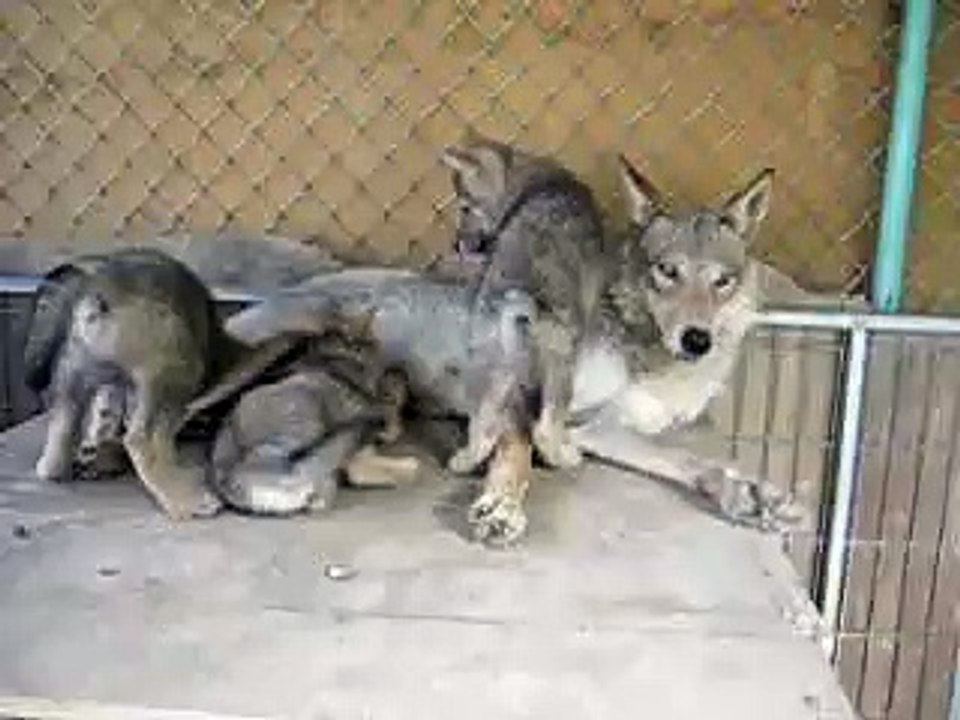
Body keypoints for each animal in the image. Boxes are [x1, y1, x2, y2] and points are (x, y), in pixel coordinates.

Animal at [440, 135, 605, 472]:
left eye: (465, 208)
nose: (455, 244)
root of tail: (519, 294)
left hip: (488, 358)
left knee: (483, 422)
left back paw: (466, 459)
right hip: (562, 354)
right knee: (545, 427)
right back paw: (564, 457)